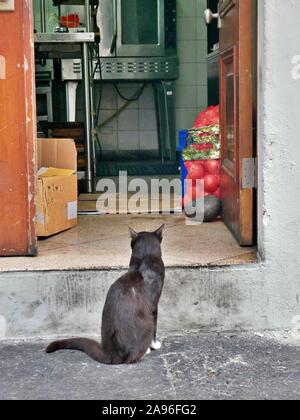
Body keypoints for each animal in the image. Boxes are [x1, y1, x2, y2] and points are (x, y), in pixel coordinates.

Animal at [45, 226, 165, 364]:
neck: (145, 257)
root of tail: (112, 354)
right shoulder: (154, 305)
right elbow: (155, 326)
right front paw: (155, 345)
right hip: (146, 323)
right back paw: (145, 351)